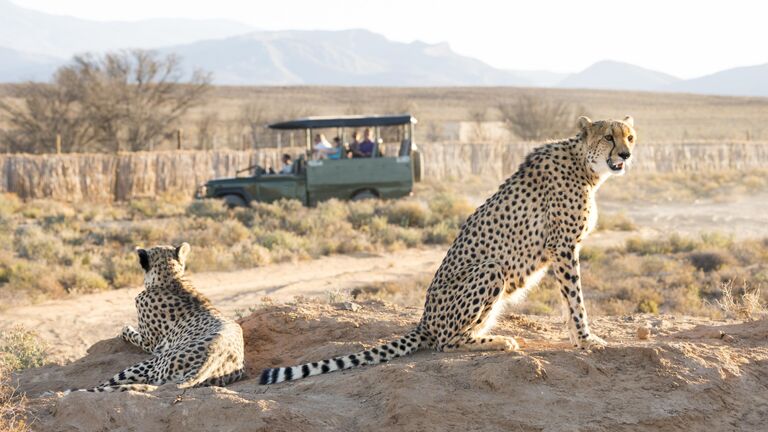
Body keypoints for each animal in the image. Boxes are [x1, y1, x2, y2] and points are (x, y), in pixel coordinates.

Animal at [68, 243, 244, 392]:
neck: (171, 277)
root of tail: (205, 366)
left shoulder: (150, 344)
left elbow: (129, 331)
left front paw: (123, 330)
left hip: (147, 364)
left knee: (106, 385)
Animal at [260, 115, 636, 384]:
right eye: (608, 137)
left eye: (629, 136)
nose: (626, 154)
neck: (585, 166)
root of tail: (425, 319)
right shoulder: (563, 247)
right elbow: (575, 301)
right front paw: (586, 339)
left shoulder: (563, 249)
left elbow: (569, 302)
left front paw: (580, 338)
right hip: (490, 269)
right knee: (446, 341)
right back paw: (499, 341)